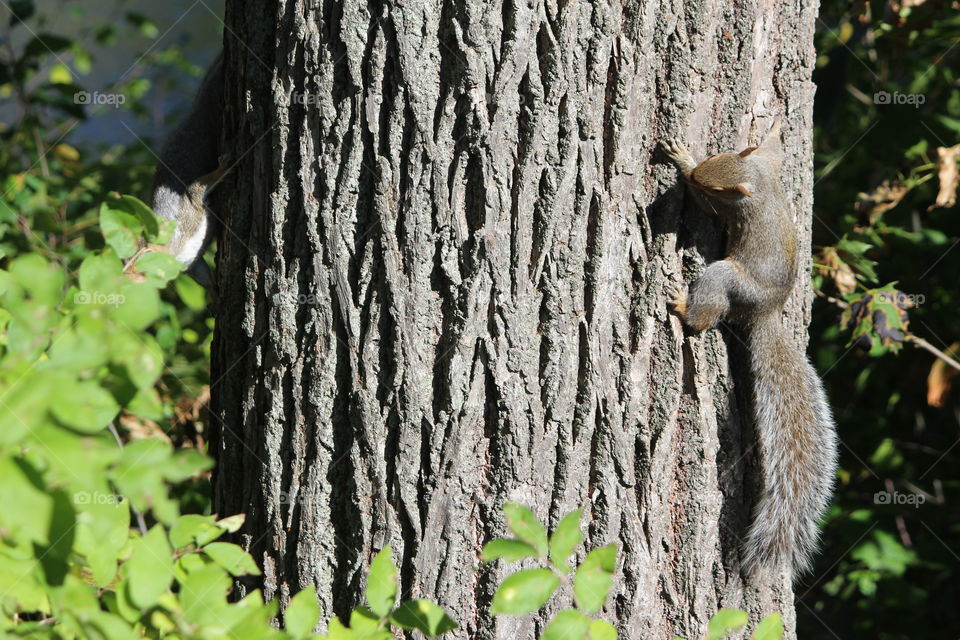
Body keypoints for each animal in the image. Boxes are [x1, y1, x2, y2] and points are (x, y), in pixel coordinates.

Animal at [150, 51, 228, 293]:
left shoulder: (188, 211)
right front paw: (215, 295)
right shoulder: (191, 264)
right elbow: (202, 275)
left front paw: (222, 169)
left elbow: (197, 189)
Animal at [661, 121, 838, 579]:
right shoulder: (765, 163)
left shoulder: (730, 210)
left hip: (727, 277)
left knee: (707, 316)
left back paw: (683, 307)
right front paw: (773, 128)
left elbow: (707, 209)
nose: (695, 173)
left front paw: (680, 159)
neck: (755, 181)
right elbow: (775, 149)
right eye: (716, 155)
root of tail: (765, 311)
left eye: (712, 182)